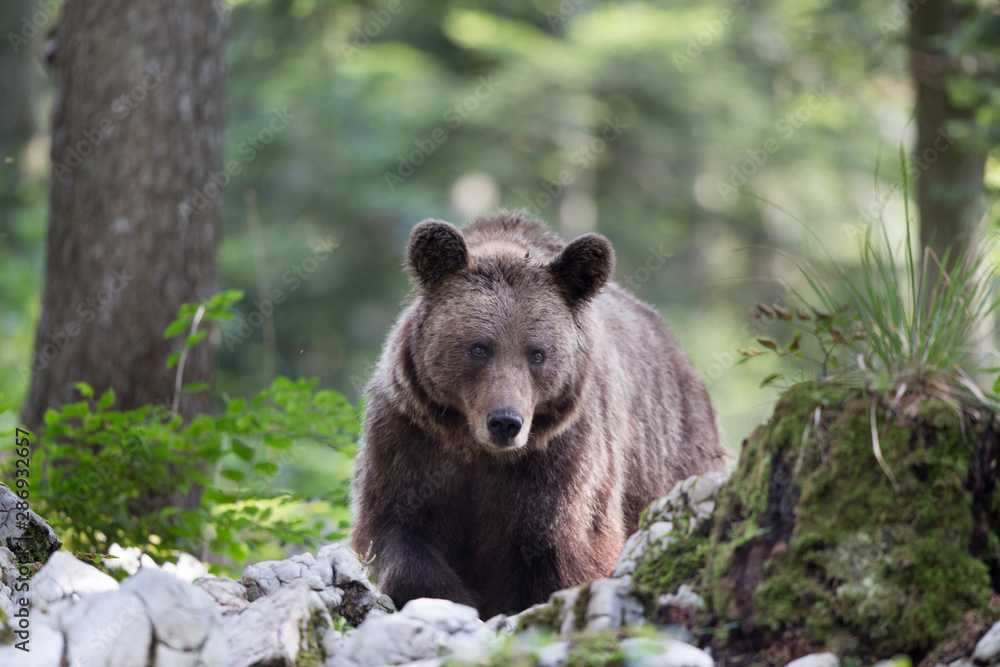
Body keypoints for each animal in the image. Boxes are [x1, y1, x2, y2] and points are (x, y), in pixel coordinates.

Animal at [351, 210, 727, 619]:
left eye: (537, 353)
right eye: (479, 347)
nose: (505, 422)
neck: (478, 448)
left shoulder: (560, 456)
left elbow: (559, 549)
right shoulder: (411, 436)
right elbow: (399, 526)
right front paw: (451, 598)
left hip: (673, 452)